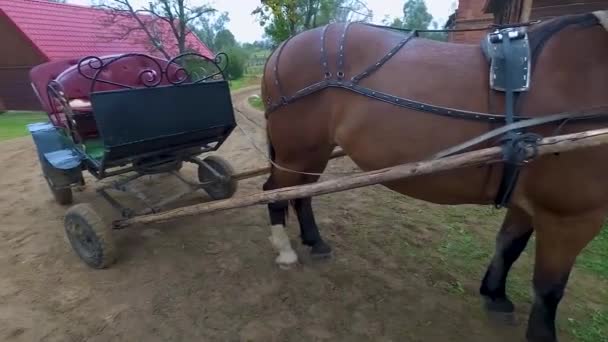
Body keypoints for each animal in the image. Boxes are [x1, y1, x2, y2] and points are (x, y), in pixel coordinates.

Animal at [260, 10, 608, 342]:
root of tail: (283, 47)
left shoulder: (530, 202)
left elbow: (509, 246)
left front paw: (495, 296)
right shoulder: (571, 216)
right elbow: (549, 288)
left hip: (313, 152)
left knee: (300, 193)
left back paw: (315, 242)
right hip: (297, 151)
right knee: (273, 191)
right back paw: (285, 250)